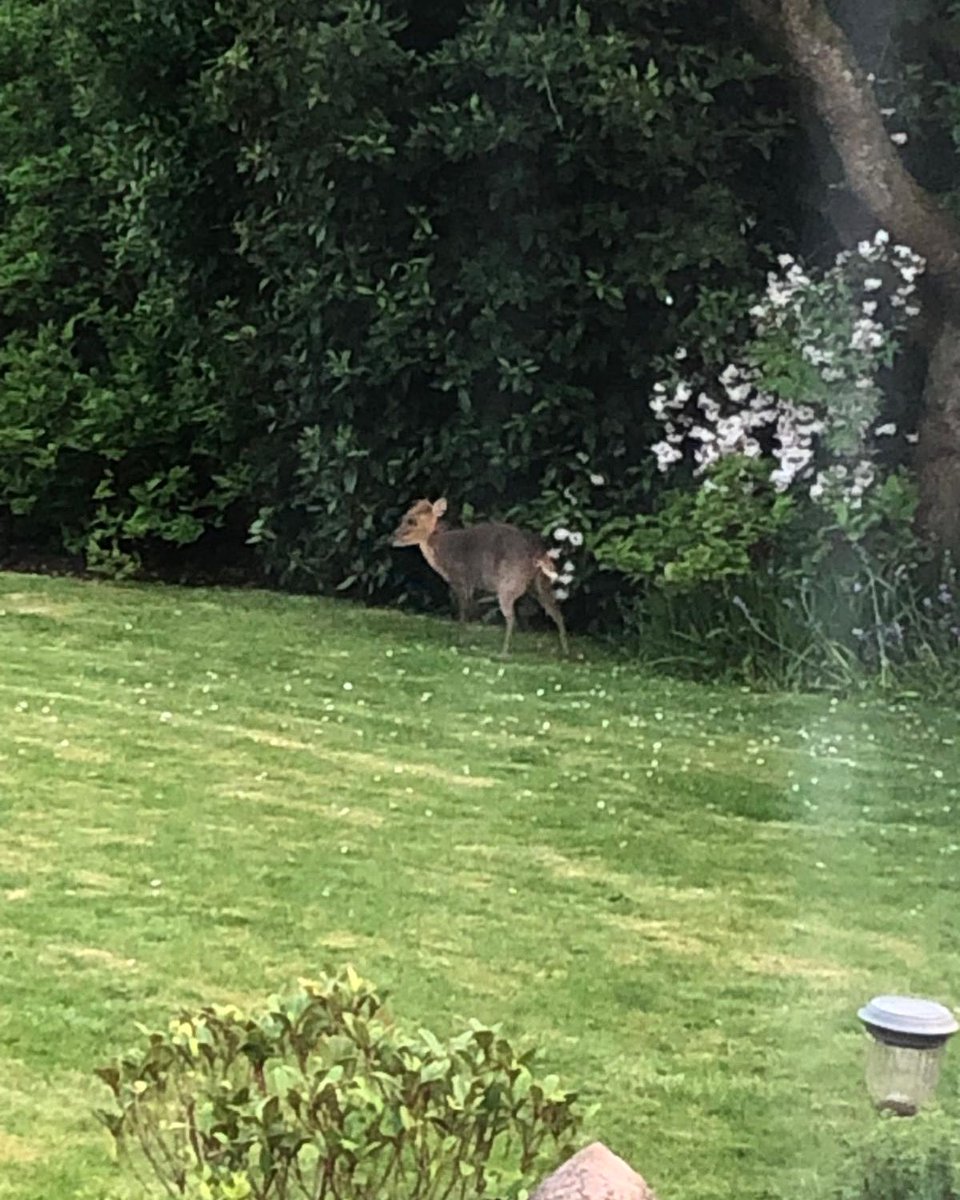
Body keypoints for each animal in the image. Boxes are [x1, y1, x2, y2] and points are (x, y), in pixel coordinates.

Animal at [391, 501, 571, 662]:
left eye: (412, 521)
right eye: (404, 517)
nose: (392, 537)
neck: (441, 550)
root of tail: (539, 554)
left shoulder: (461, 579)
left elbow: (463, 611)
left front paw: (460, 641)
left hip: (509, 584)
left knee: (512, 616)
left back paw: (503, 652)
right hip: (540, 584)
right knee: (557, 612)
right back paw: (565, 651)